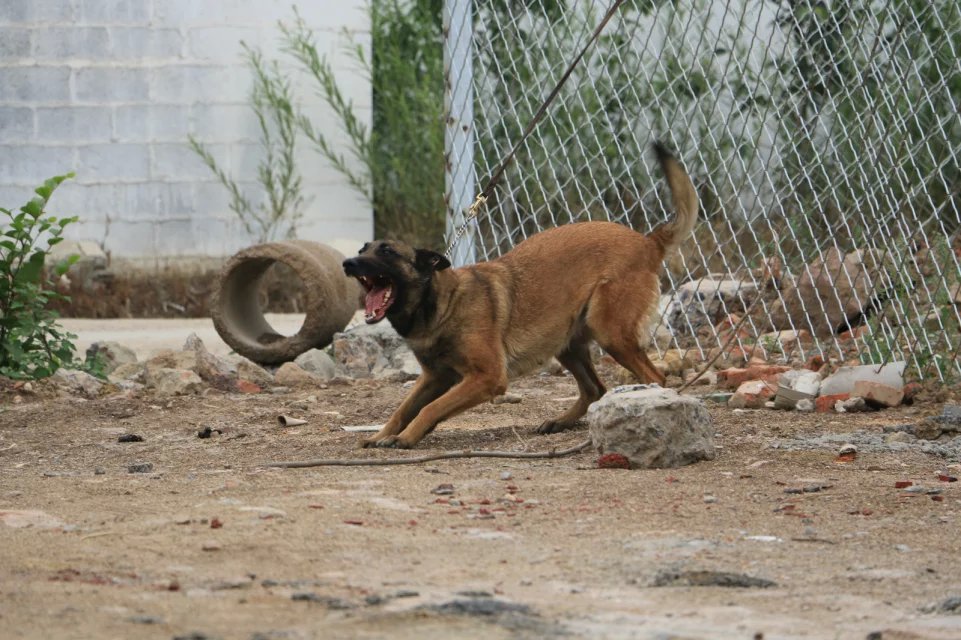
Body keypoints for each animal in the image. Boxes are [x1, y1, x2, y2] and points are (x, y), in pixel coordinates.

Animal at [342, 142, 692, 448]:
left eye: (387, 251)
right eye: (362, 249)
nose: (347, 263)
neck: (442, 304)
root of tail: (647, 242)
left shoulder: (487, 377)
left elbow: (430, 408)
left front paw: (406, 437)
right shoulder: (434, 378)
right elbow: (403, 408)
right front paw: (383, 434)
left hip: (610, 333)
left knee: (655, 378)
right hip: (567, 343)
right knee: (595, 388)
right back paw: (561, 421)